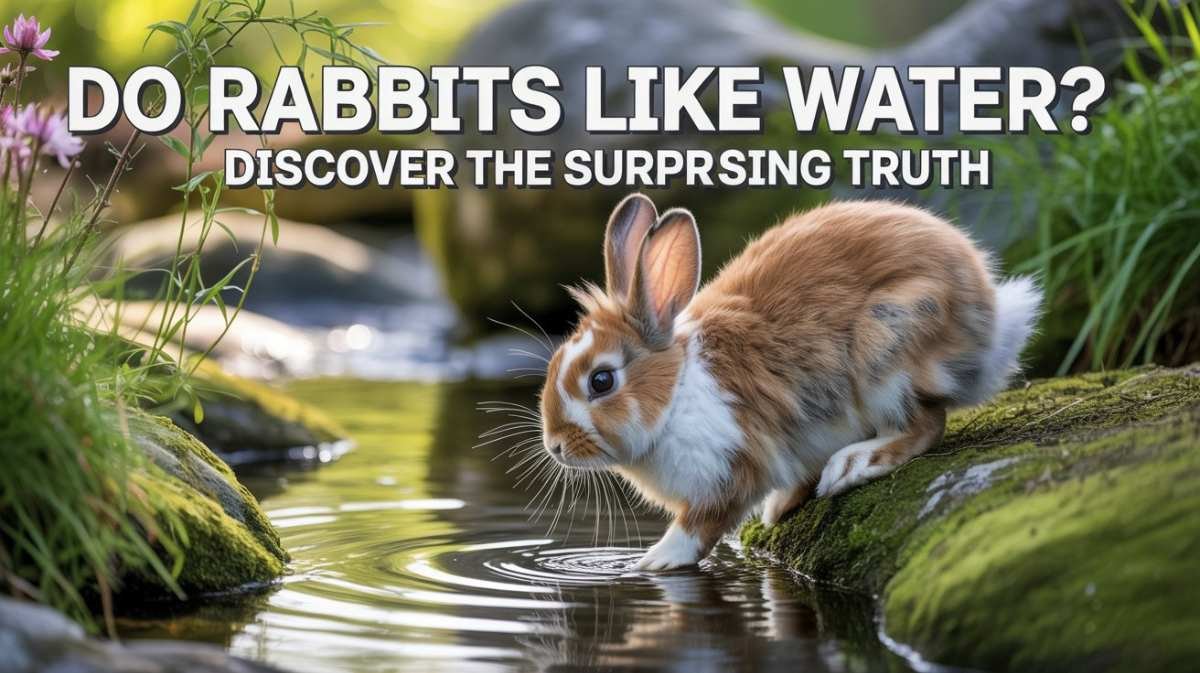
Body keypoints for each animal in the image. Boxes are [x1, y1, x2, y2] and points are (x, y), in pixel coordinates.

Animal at [537, 193, 1041, 570]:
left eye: (601, 381)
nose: (554, 446)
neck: (676, 391)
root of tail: (991, 323)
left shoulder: (732, 466)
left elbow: (699, 527)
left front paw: (653, 561)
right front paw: (779, 507)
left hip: (888, 350)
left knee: (926, 425)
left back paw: (853, 465)